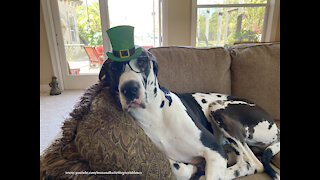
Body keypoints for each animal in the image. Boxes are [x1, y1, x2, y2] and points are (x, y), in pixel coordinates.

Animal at [99, 48, 278, 180]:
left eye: (142, 61)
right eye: (113, 67)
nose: (129, 89)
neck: (156, 114)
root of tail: (276, 128)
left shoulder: (215, 150)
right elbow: (177, 168)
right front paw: (193, 169)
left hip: (218, 109)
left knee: (253, 164)